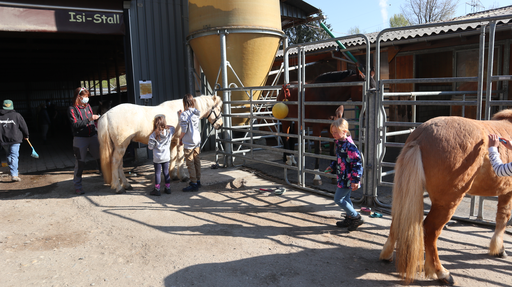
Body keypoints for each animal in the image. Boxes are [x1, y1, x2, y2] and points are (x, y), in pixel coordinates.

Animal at [380, 110, 512, 286]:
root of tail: (421, 136)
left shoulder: (505, 191)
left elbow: (501, 217)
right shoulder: (508, 192)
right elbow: (504, 218)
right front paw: (499, 249)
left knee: (398, 218)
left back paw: (387, 254)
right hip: (448, 202)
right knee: (430, 230)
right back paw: (442, 273)